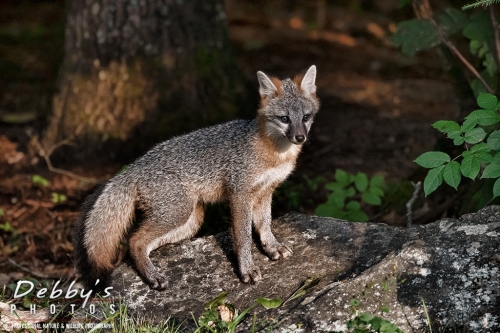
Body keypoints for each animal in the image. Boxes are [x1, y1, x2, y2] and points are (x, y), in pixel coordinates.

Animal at [72, 64, 318, 288]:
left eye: (305, 117)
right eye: (284, 118)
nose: (300, 137)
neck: (274, 152)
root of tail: (134, 166)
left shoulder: (265, 192)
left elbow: (265, 224)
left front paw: (271, 247)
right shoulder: (239, 194)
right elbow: (243, 237)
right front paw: (246, 269)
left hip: (190, 220)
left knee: (139, 245)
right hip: (177, 212)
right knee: (134, 241)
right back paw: (152, 275)